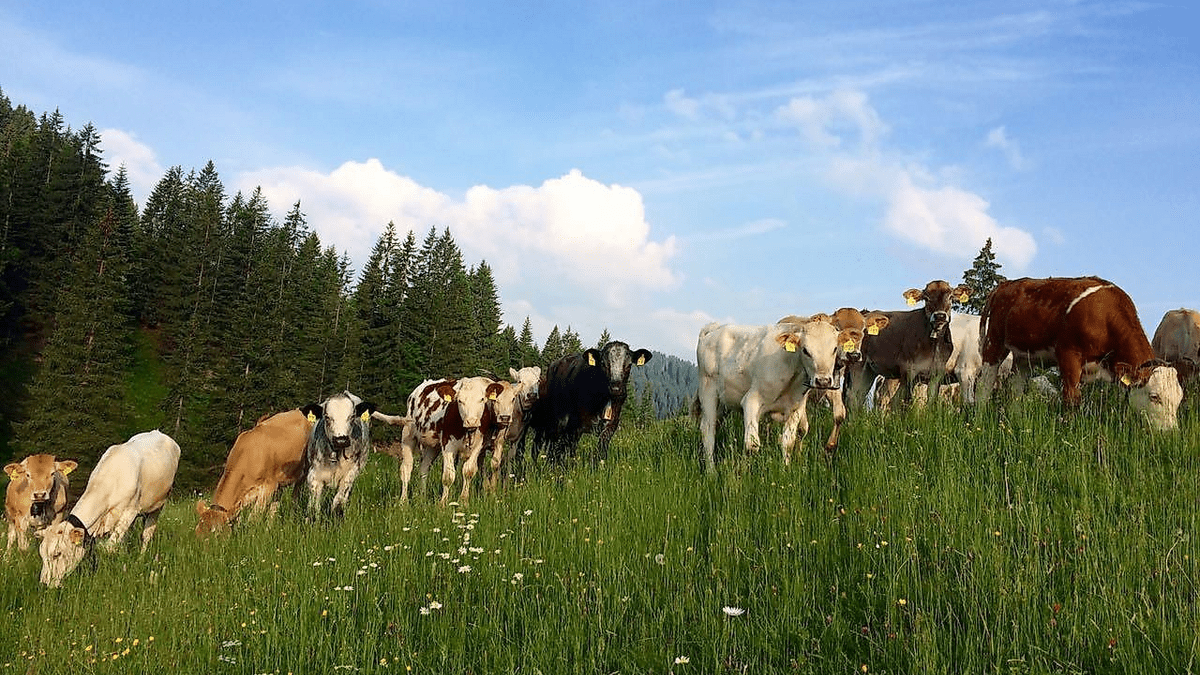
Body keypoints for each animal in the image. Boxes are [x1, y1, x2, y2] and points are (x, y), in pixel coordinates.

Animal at [37, 430, 180, 588]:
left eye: (57, 554)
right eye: (42, 555)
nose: (43, 584)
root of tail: (159, 432)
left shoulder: (130, 511)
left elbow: (109, 548)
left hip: (159, 504)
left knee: (146, 535)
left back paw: (140, 559)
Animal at [523, 342, 652, 466]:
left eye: (629, 365)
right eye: (603, 363)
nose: (616, 388)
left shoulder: (611, 425)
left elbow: (601, 451)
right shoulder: (576, 426)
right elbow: (571, 453)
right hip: (554, 423)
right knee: (547, 447)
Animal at [695, 315, 856, 473]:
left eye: (834, 349)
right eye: (805, 350)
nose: (823, 381)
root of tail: (714, 328)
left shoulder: (796, 409)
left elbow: (788, 442)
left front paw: (785, 470)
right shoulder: (751, 400)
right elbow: (752, 445)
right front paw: (745, 474)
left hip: (724, 402)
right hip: (708, 390)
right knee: (708, 429)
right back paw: (711, 471)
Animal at [846, 280, 972, 409]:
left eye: (950, 297)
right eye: (926, 298)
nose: (940, 316)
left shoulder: (936, 374)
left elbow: (931, 401)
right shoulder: (908, 371)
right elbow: (902, 401)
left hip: (870, 371)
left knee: (860, 396)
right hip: (859, 365)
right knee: (854, 397)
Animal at [977, 276, 1182, 430]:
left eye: (1180, 399)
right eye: (1154, 396)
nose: (1169, 433)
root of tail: (1007, 284)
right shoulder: (1069, 355)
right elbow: (1072, 400)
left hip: (1024, 357)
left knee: (1015, 388)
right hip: (994, 342)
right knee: (984, 382)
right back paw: (979, 415)